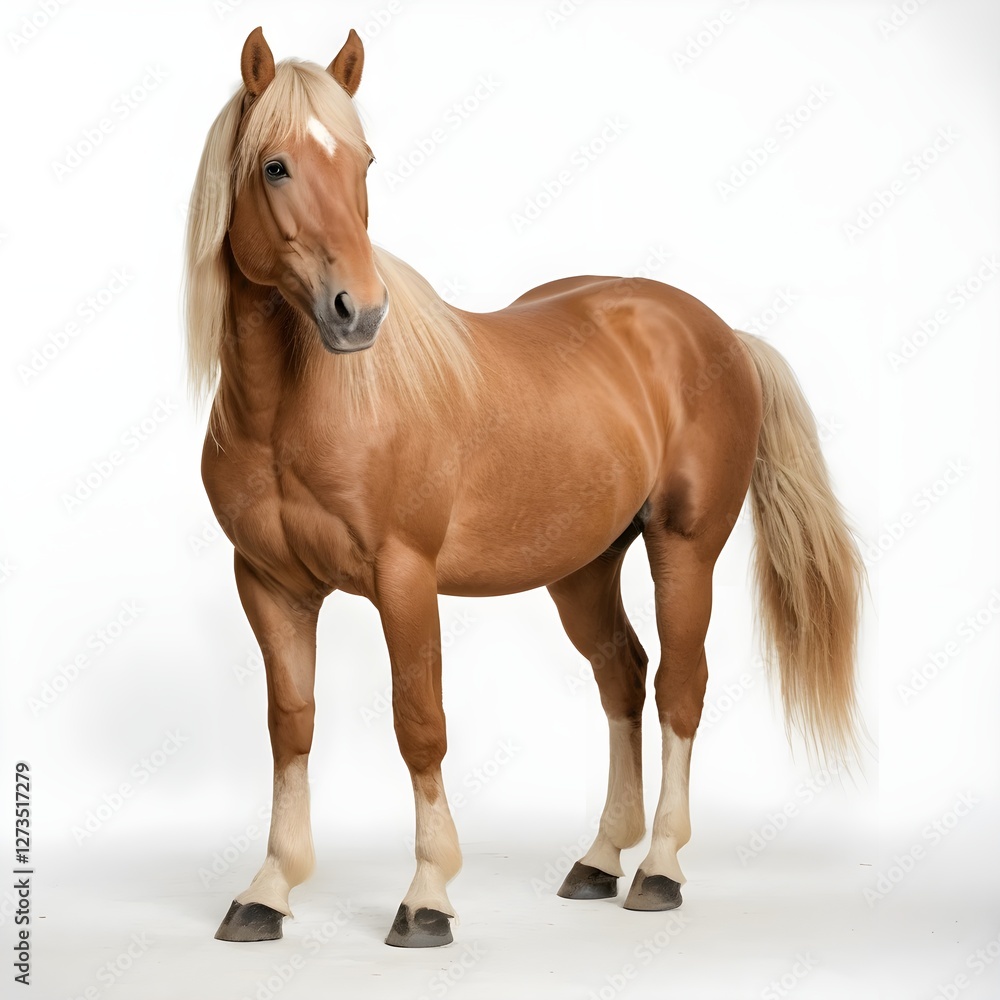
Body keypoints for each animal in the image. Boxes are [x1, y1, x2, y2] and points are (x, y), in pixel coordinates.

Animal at [185, 26, 864, 948]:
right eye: (276, 166)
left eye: (364, 160)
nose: (358, 312)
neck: (297, 411)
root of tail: (719, 332)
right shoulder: (269, 584)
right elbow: (290, 727)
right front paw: (268, 889)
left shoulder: (404, 579)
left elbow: (420, 725)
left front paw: (427, 896)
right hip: (583, 569)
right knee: (623, 677)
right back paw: (599, 860)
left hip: (684, 550)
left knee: (679, 687)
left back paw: (658, 868)